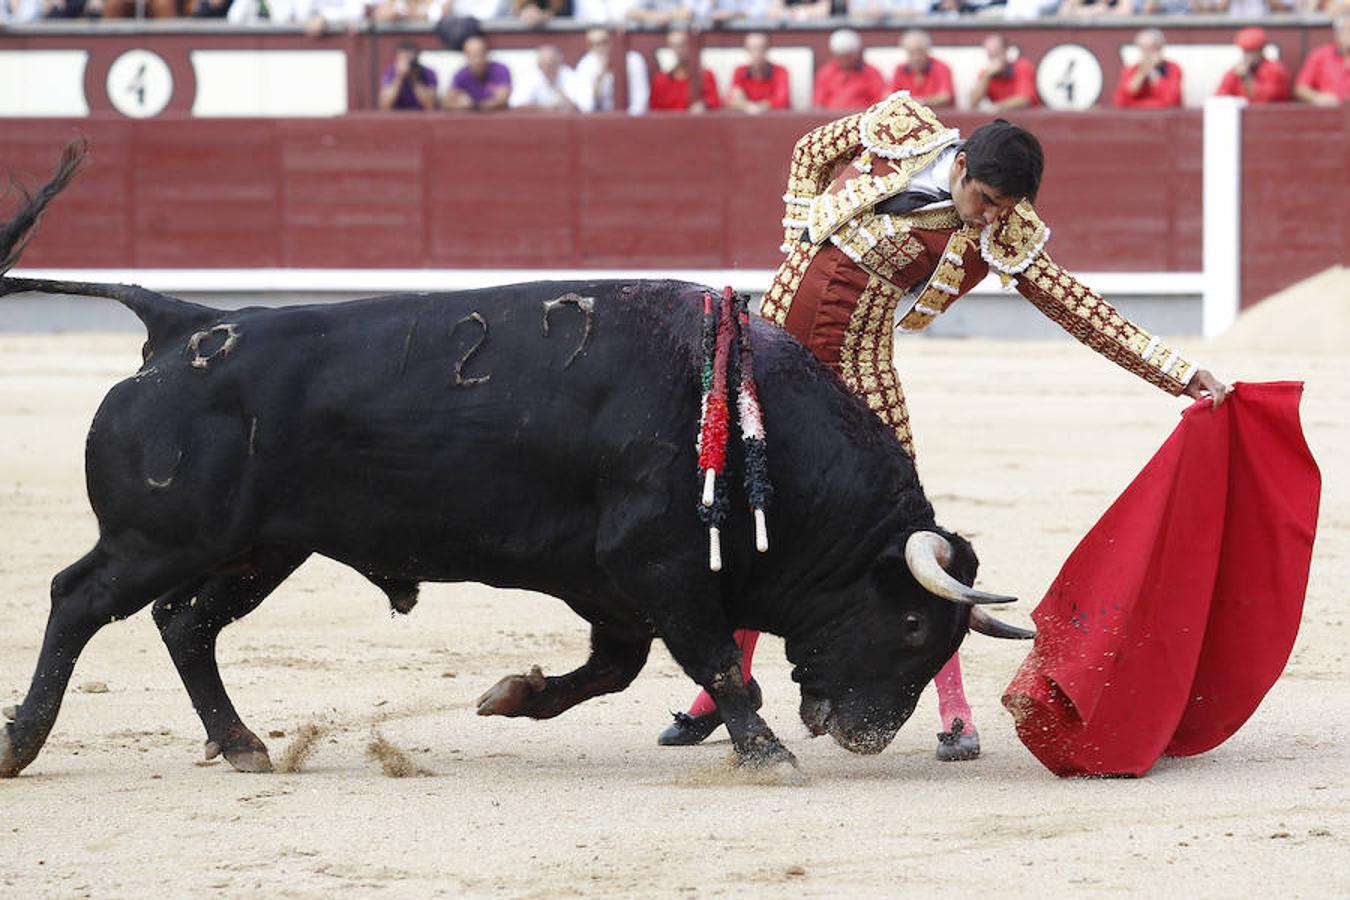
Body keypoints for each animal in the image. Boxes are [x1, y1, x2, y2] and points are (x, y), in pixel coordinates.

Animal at [0, 142, 1020, 782]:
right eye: (911, 629)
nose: (867, 737)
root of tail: (181, 323)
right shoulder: (658, 566)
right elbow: (724, 667)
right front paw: (769, 757)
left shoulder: (613, 585)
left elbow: (615, 667)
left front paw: (510, 697)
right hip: (158, 536)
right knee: (79, 599)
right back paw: (23, 743)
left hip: (264, 548)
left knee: (185, 623)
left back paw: (243, 742)